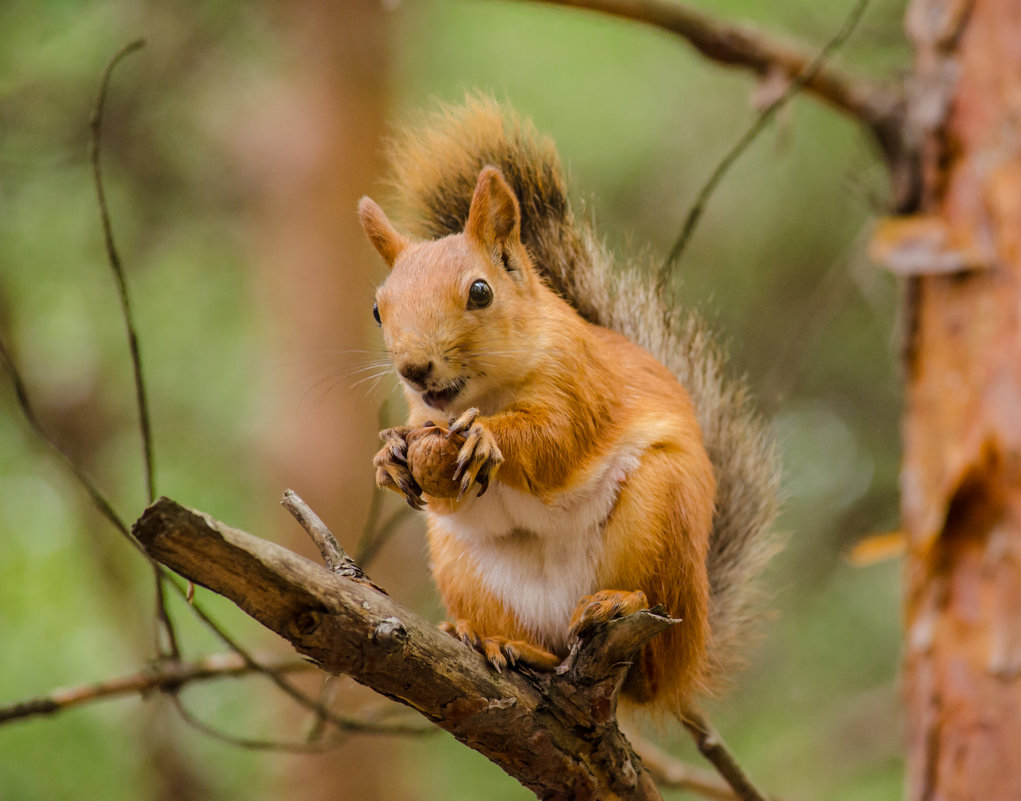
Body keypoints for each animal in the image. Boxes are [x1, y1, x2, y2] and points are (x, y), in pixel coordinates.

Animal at [355, 96, 775, 714]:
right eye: (378, 310)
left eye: (480, 292)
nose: (414, 368)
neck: (487, 395)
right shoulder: (425, 418)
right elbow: (440, 483)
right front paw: (389, 459)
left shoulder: (581, 384)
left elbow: (557, 440)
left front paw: (488, 438)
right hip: (465, 568)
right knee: (547, 650)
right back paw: (496, 641)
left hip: (663, 514)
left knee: (647, 659)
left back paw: (617, 606)